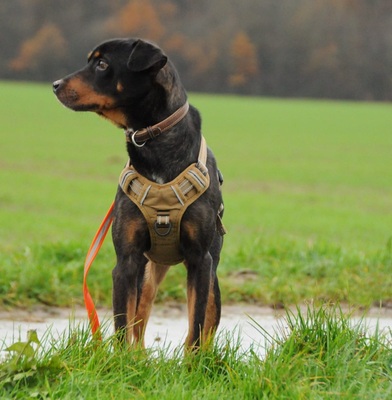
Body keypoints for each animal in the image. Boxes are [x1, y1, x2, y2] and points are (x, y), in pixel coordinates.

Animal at [52, 38, 224, 350]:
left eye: (102, 64)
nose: (55, 84)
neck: (154, 142)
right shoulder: (127, 261)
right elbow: (123, 327)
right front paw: (121, 361)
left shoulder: (200, 261)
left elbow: (195, 327)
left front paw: (192, 361)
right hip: (146, 274)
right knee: (139, 322)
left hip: (212, 279)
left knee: (206, 323)